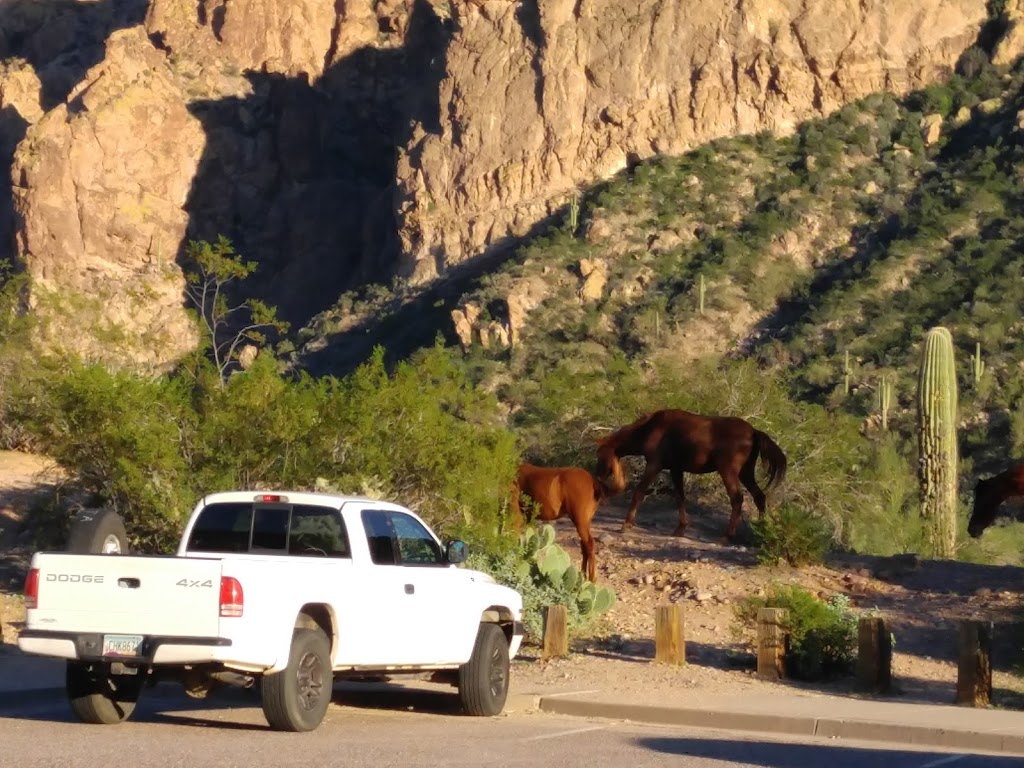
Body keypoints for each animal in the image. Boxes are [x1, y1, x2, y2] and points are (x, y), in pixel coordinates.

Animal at [598, 409, 786, 540]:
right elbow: (680, 497)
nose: (599, 476)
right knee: (759, 497)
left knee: (737, 499)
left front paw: (626, 524)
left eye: (600, 454)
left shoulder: (654, 465)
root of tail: (753, 431)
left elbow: (639, 492)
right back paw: (761, 530)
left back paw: (727, 536)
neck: (652, 427)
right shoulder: (676, 469)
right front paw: (680, 528)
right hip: (745, 473)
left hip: (729, 472)